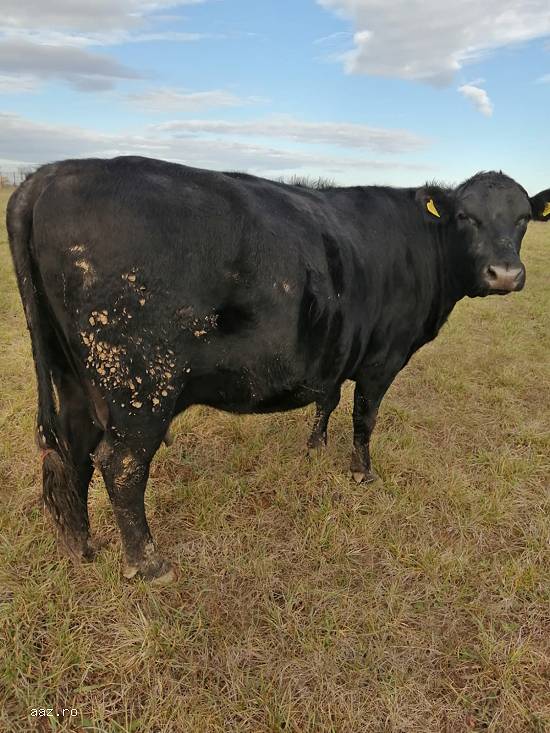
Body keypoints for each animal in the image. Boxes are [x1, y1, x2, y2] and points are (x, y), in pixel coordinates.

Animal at [7, 156, 550, 583]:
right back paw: (148, 564)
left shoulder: (335, 350)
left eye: (524, 218)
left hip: (74, 379)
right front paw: (363, 473)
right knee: (120, 465)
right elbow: (365, 417)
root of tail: (51, 173)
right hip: (139, 384)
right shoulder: (383, 359)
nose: (505, 274)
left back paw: (81, 545)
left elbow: (329, 397)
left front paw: (315, 447)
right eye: (465, 216)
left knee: (72, 451)